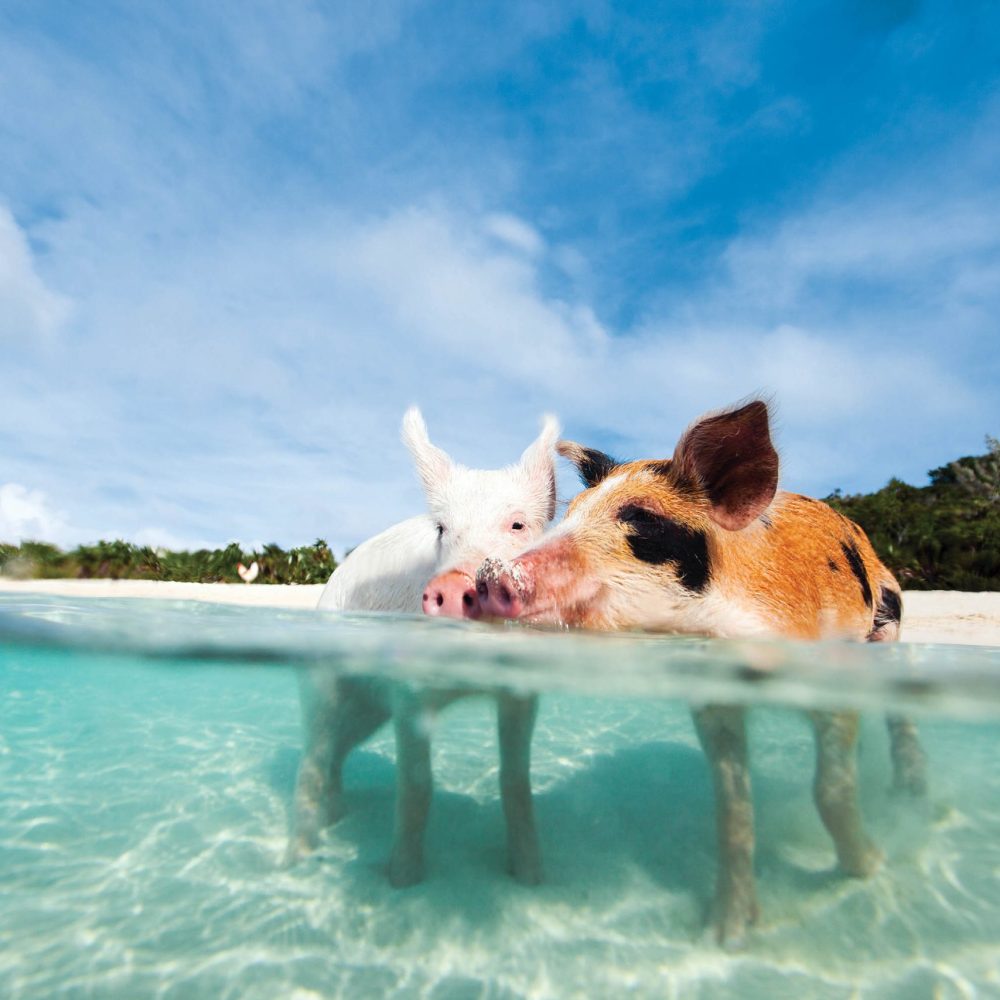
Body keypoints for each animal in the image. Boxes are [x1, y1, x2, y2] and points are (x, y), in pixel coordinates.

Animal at [476, 398, 928, 944]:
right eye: (571, 512)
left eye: (642, 519)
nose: (490, 575)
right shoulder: (714, 701)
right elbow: (733, 808)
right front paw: (726, 934)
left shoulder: (829, 673)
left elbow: (831, 789)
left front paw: (868, 868)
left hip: (889, 623)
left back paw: (910, 795)